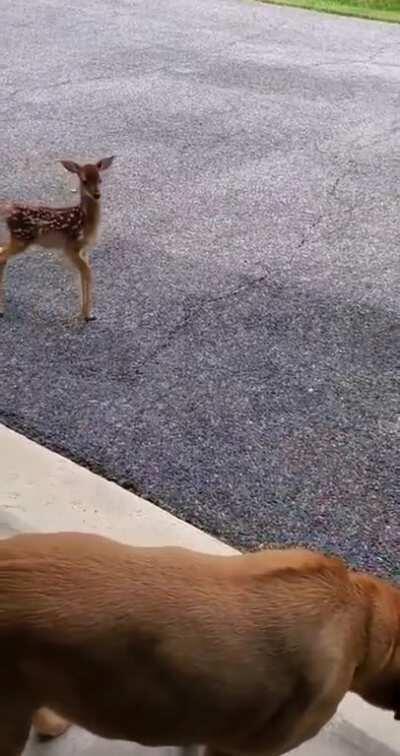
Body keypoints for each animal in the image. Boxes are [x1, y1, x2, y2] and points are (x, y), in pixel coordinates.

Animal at [0, 156, 115, 322]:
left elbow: (85, 273)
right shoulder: (70, 246)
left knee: (1, 252)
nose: (97, 194)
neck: (85, 220)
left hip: (18, 238)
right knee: (2, 256)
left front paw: (87, 313)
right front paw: (87, 315)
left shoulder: (83, 249)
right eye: (84, 180)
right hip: (21, 238)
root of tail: (9, 211)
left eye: (100, 179)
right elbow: (87, 272)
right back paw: (1, 309)